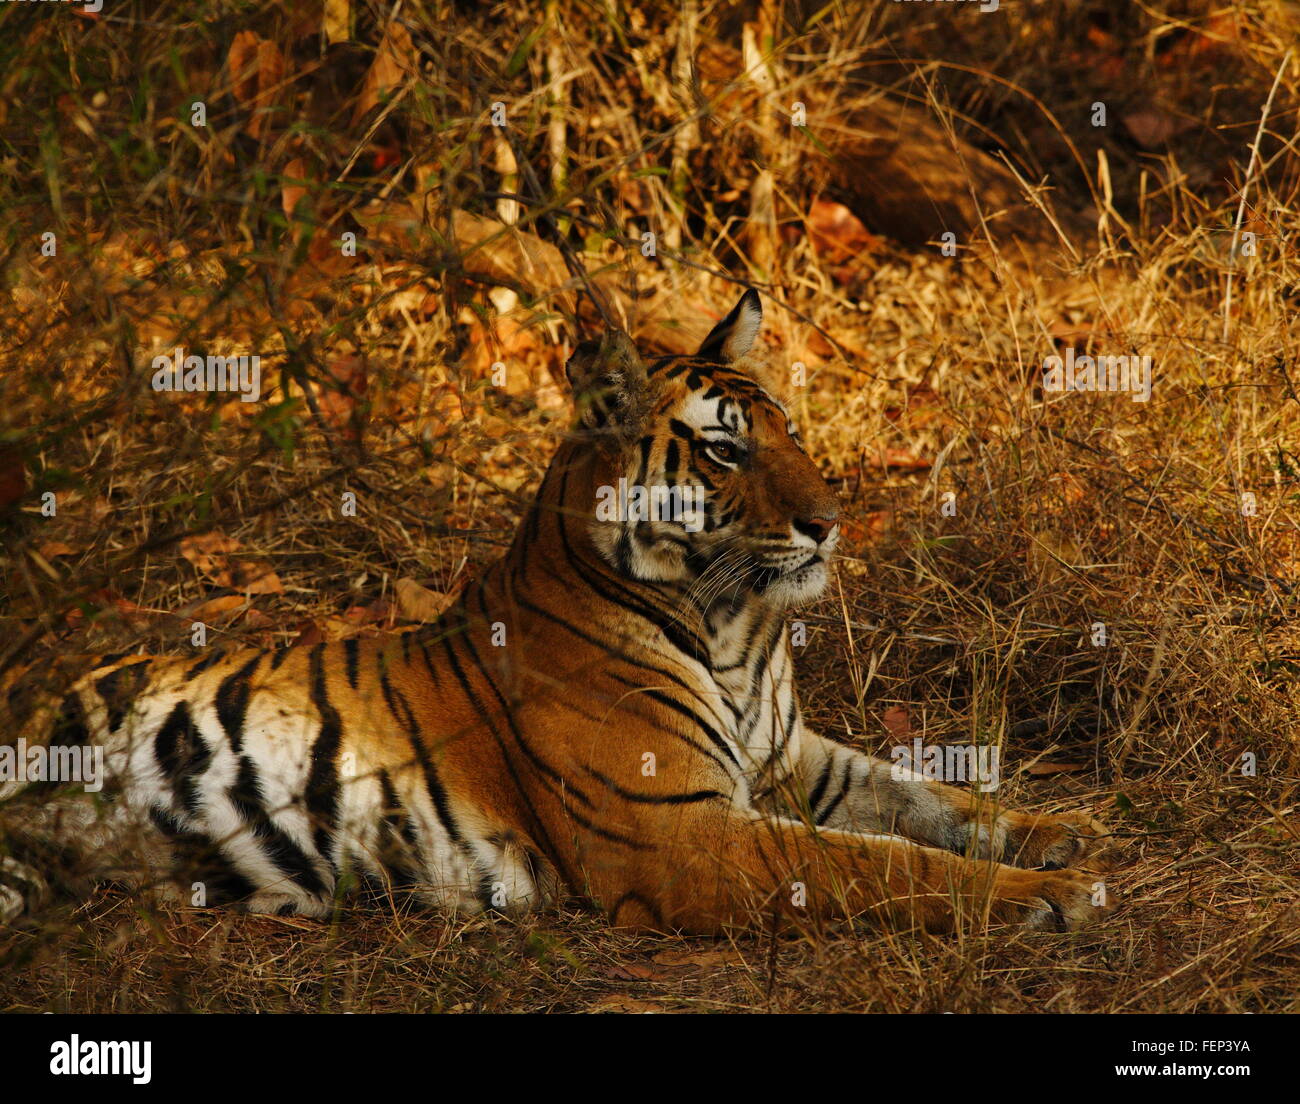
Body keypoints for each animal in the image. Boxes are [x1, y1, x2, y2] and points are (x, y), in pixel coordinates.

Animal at [2, 291, 1118, 931]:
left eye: (790, 430)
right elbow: (878, 866)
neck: (733, 626)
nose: (831, 525)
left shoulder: (793, 761)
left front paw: (1060, 834)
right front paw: (1044, 899)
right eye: (726, 450)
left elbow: (930, 799)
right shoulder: (682, 835)